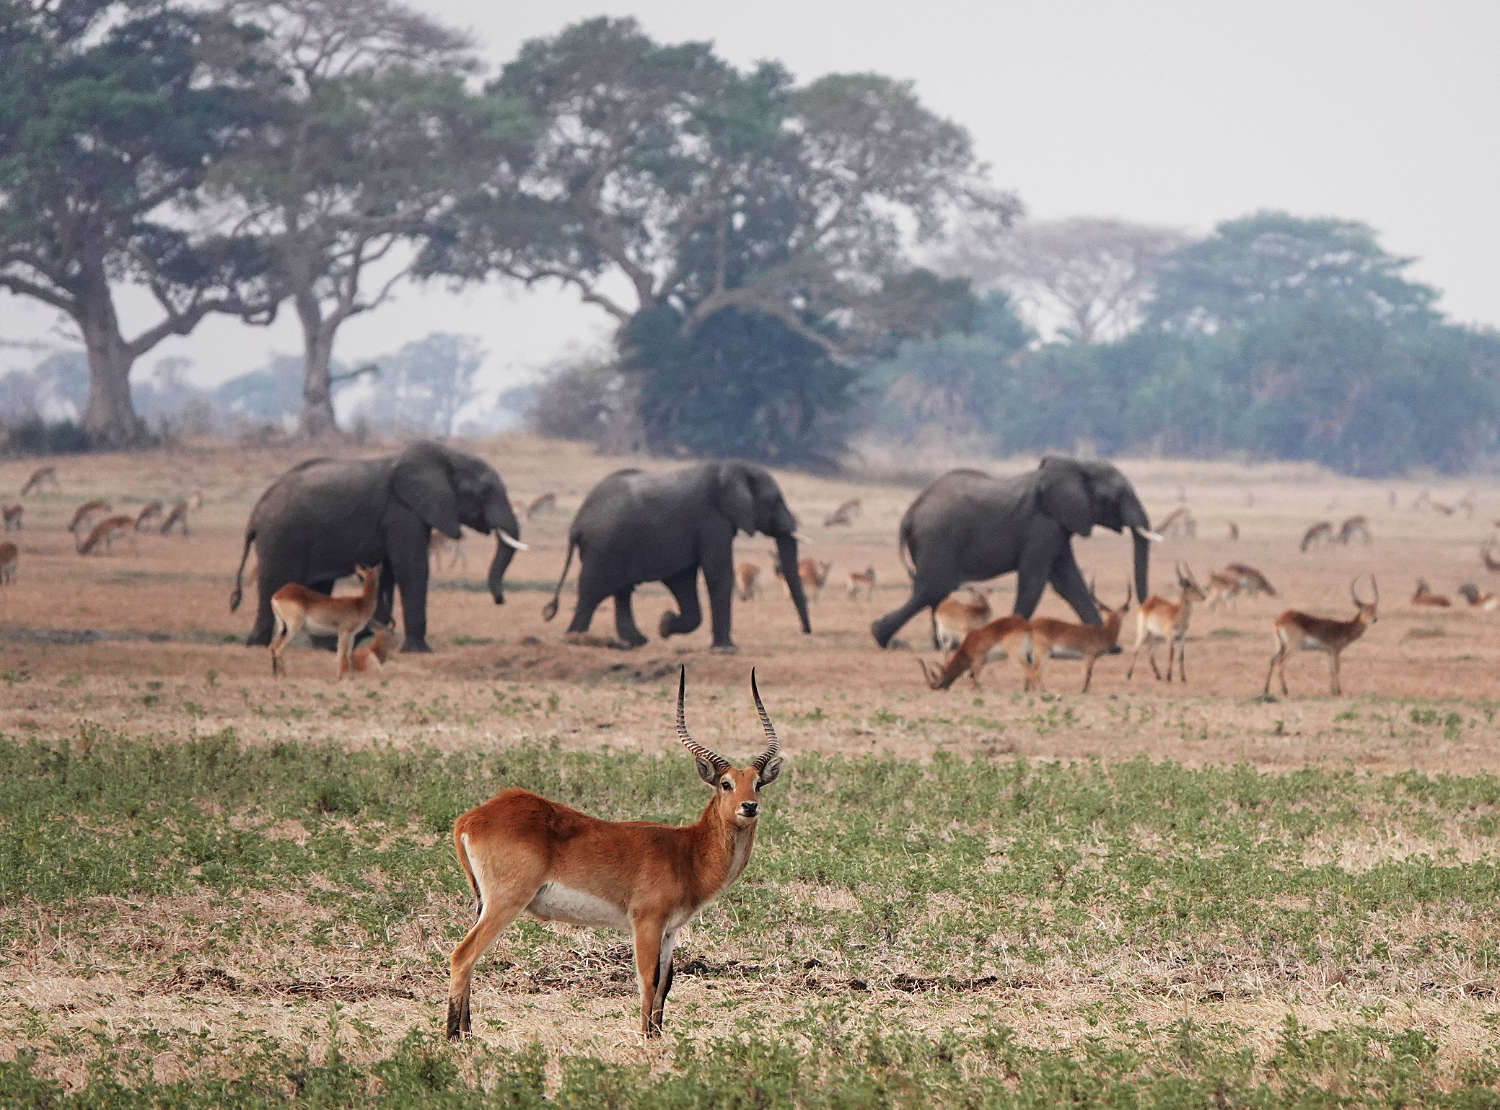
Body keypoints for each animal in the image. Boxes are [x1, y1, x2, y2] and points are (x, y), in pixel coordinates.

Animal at [226, 441, 522, 651]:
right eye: (485, 492)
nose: (500, 600)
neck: (446, 455)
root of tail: (255, 514)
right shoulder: (403, 509)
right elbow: (411, 567)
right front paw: (419, 651)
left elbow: (391, 570)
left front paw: (377, 630)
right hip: (281, 536)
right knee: (273, 584)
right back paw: (257, 646)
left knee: (318, 586)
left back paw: (325, 647)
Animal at [447, 669, 786, 1038]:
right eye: (726, 783)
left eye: (757, 783)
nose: (749, 806)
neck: (687, 852)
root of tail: (470, 818)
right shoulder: (646, 922)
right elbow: (647, 981)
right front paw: (644, 1040)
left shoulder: (670, 929)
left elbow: (665, 985)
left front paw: (657, 1037)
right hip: (505, 902)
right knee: (462, 956)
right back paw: (456, 1039)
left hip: (483, 903)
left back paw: (467, 1034)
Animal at [546, 459, 816, 651]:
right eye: (776, 500)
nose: (806, 632)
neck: (733, 468)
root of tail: (576, 524)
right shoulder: (712, 521)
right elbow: (717, 572)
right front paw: (726, 650)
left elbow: (683, 579)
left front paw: (664, 625)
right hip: (602, 547)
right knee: (591, 593)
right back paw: (576, 639)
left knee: (622, 592)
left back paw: (635, 642)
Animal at [870, 456, 1158, 651]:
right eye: (1118, 496)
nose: (1148, 639)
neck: (1077, 465)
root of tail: (909, 515)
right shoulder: (1042, 525)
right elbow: (1035, 580)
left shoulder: (1057, 525)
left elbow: (1068, 581)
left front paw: (1108, 647)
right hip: (937, 539)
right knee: (932, 588)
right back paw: (882, 637)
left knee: (935, 592)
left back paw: (940, 645)